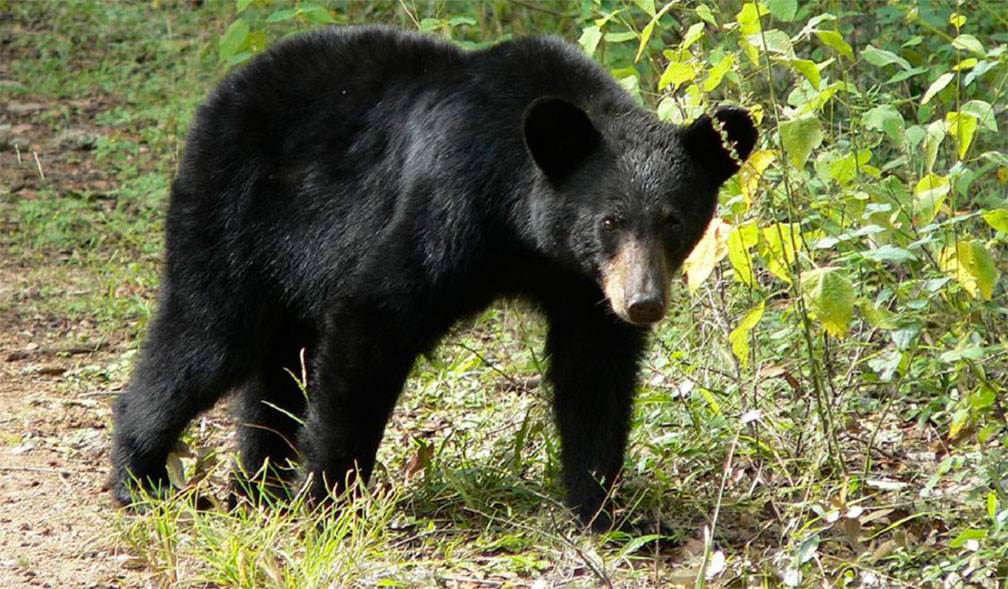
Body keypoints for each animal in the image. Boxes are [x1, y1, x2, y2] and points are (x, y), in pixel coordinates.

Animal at [111, 25, 756, 532]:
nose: (642, 302)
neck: (524, 228)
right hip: (233, 218)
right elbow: (376, 314)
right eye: (609, 220)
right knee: (206, 336)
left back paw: (256, 486)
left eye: (674, 222)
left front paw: (608, 512)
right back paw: (141, 477)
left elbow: (594, 373)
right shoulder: (452, 200)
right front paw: (327, 504)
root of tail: (225, 90)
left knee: (276, 368)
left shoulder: (581, 285)